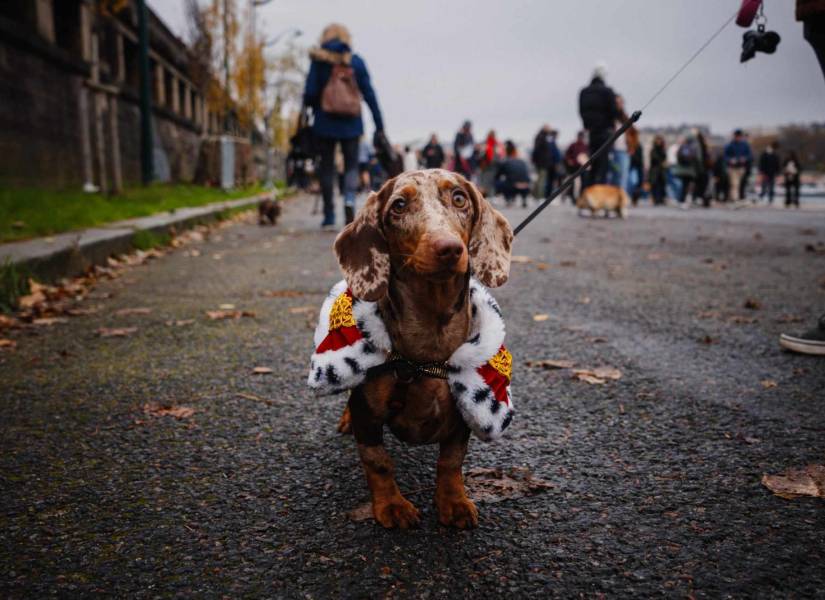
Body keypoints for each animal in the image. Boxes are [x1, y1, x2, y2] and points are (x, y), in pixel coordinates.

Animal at [330, 166, 512, 528]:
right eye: (398, 205)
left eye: (459, 198)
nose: (449, 248)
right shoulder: (367, 414)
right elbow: (378, 462)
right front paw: (391, 506)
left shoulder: (463, 414)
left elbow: (451, 462)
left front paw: (453, 503)